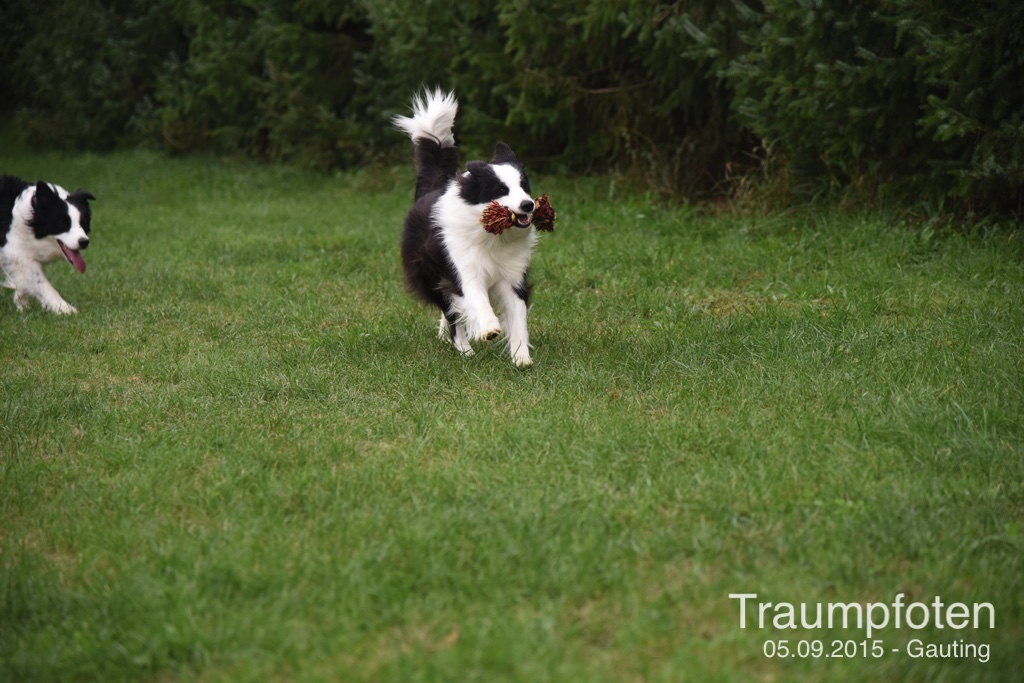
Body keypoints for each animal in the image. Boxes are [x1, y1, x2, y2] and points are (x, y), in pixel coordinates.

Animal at [1, 176, 95, 315]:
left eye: (83, 223)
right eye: (63, 224)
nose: (84, 242)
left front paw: (21, 304)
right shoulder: (16, 252)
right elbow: (41, 283)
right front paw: (65, 308)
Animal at [393, 91, 548, 370]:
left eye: (524, 186)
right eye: (500, 190)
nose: (528, 205)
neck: (493, 236)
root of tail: (431, 189)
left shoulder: (513, 275)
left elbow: (518, 316)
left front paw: (521, 357)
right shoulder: (463, 267)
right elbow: (475, 298)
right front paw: (488, 328)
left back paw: (446, 333)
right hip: (427, 272)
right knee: (450, 308)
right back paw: (464, 349)